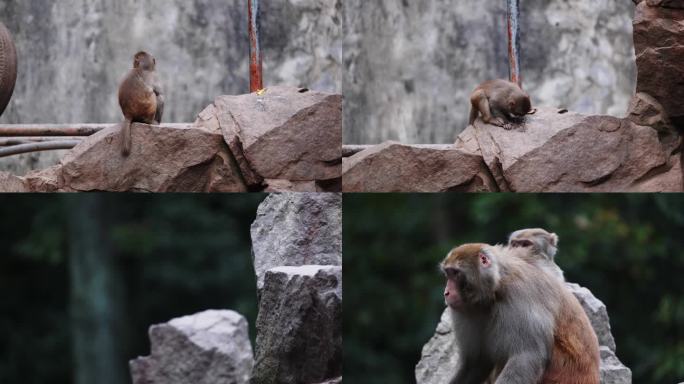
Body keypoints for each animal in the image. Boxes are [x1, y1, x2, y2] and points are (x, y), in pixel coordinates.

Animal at [438, 243, 600, 384]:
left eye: (455, 273)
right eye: (448, 274)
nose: (446, 292)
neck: (496, 288)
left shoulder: (519, 296)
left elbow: (527, 356)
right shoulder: (467, 309)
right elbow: (476, 362)